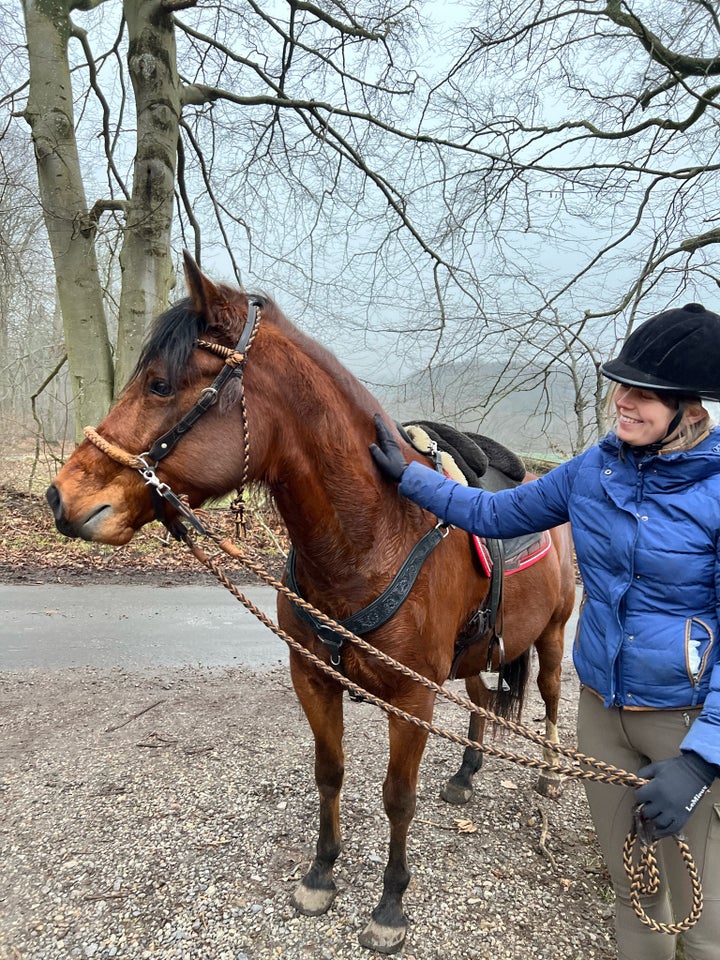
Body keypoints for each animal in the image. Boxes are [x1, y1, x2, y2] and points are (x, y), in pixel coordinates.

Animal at [46, 251, 572, 956]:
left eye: (159, 385)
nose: (63, 498)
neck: (374, 536)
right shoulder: (314, 677)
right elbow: (331, 774)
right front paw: (322, 873)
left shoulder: (411, 698)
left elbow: (397, 796)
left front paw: (390, 905)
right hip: (469, 658)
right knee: (484, 699)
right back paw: (466, 773)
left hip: (552, 639)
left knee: (549, 700)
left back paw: (548, 776)